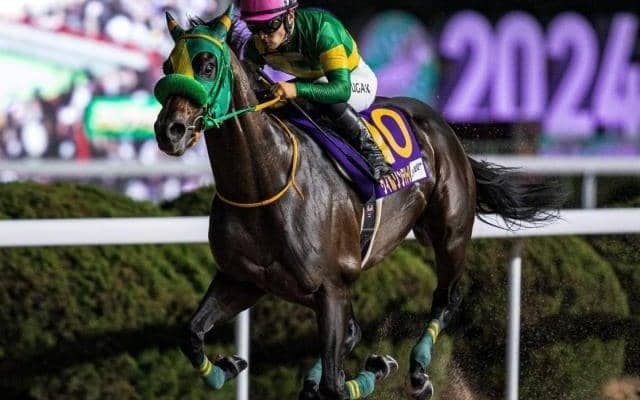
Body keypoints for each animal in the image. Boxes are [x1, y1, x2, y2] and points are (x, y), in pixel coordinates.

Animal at [152, 10, 563, 400]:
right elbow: (191, 334)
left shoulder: (331, 286)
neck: (262, 184)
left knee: (446, 299)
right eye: (168, 67)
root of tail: (444, 128)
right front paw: (226, 366)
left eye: (207, 65)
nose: (170, 130)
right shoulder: (244, 279)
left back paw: (417, 372)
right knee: (350, 333)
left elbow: (337, 384)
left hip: (450, 234)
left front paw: (378, 366)